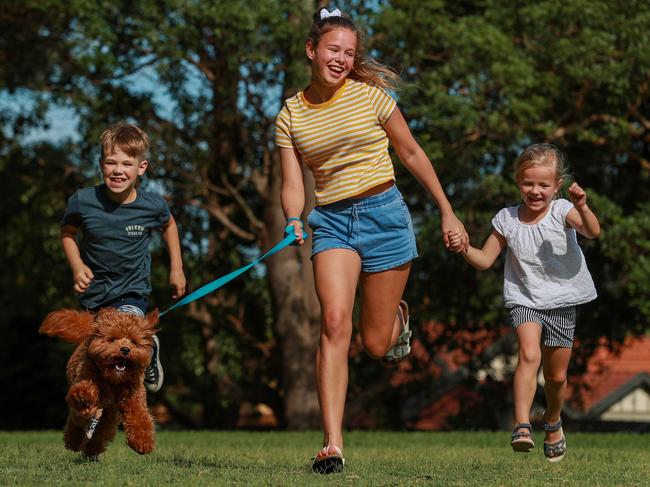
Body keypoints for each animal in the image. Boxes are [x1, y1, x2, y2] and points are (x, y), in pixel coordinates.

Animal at [39, 308, 158, 462]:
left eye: (134, 341)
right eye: (112, 339)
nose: (125, 349)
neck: (113, 380)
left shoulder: (134, 397)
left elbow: (139, 417)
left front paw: (143, 442)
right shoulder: (85, 376)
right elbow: (83, 393)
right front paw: (83, 397)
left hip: (110, 415)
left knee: (101, 433)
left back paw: (91, 452)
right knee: (76, 421)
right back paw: (74, 442)